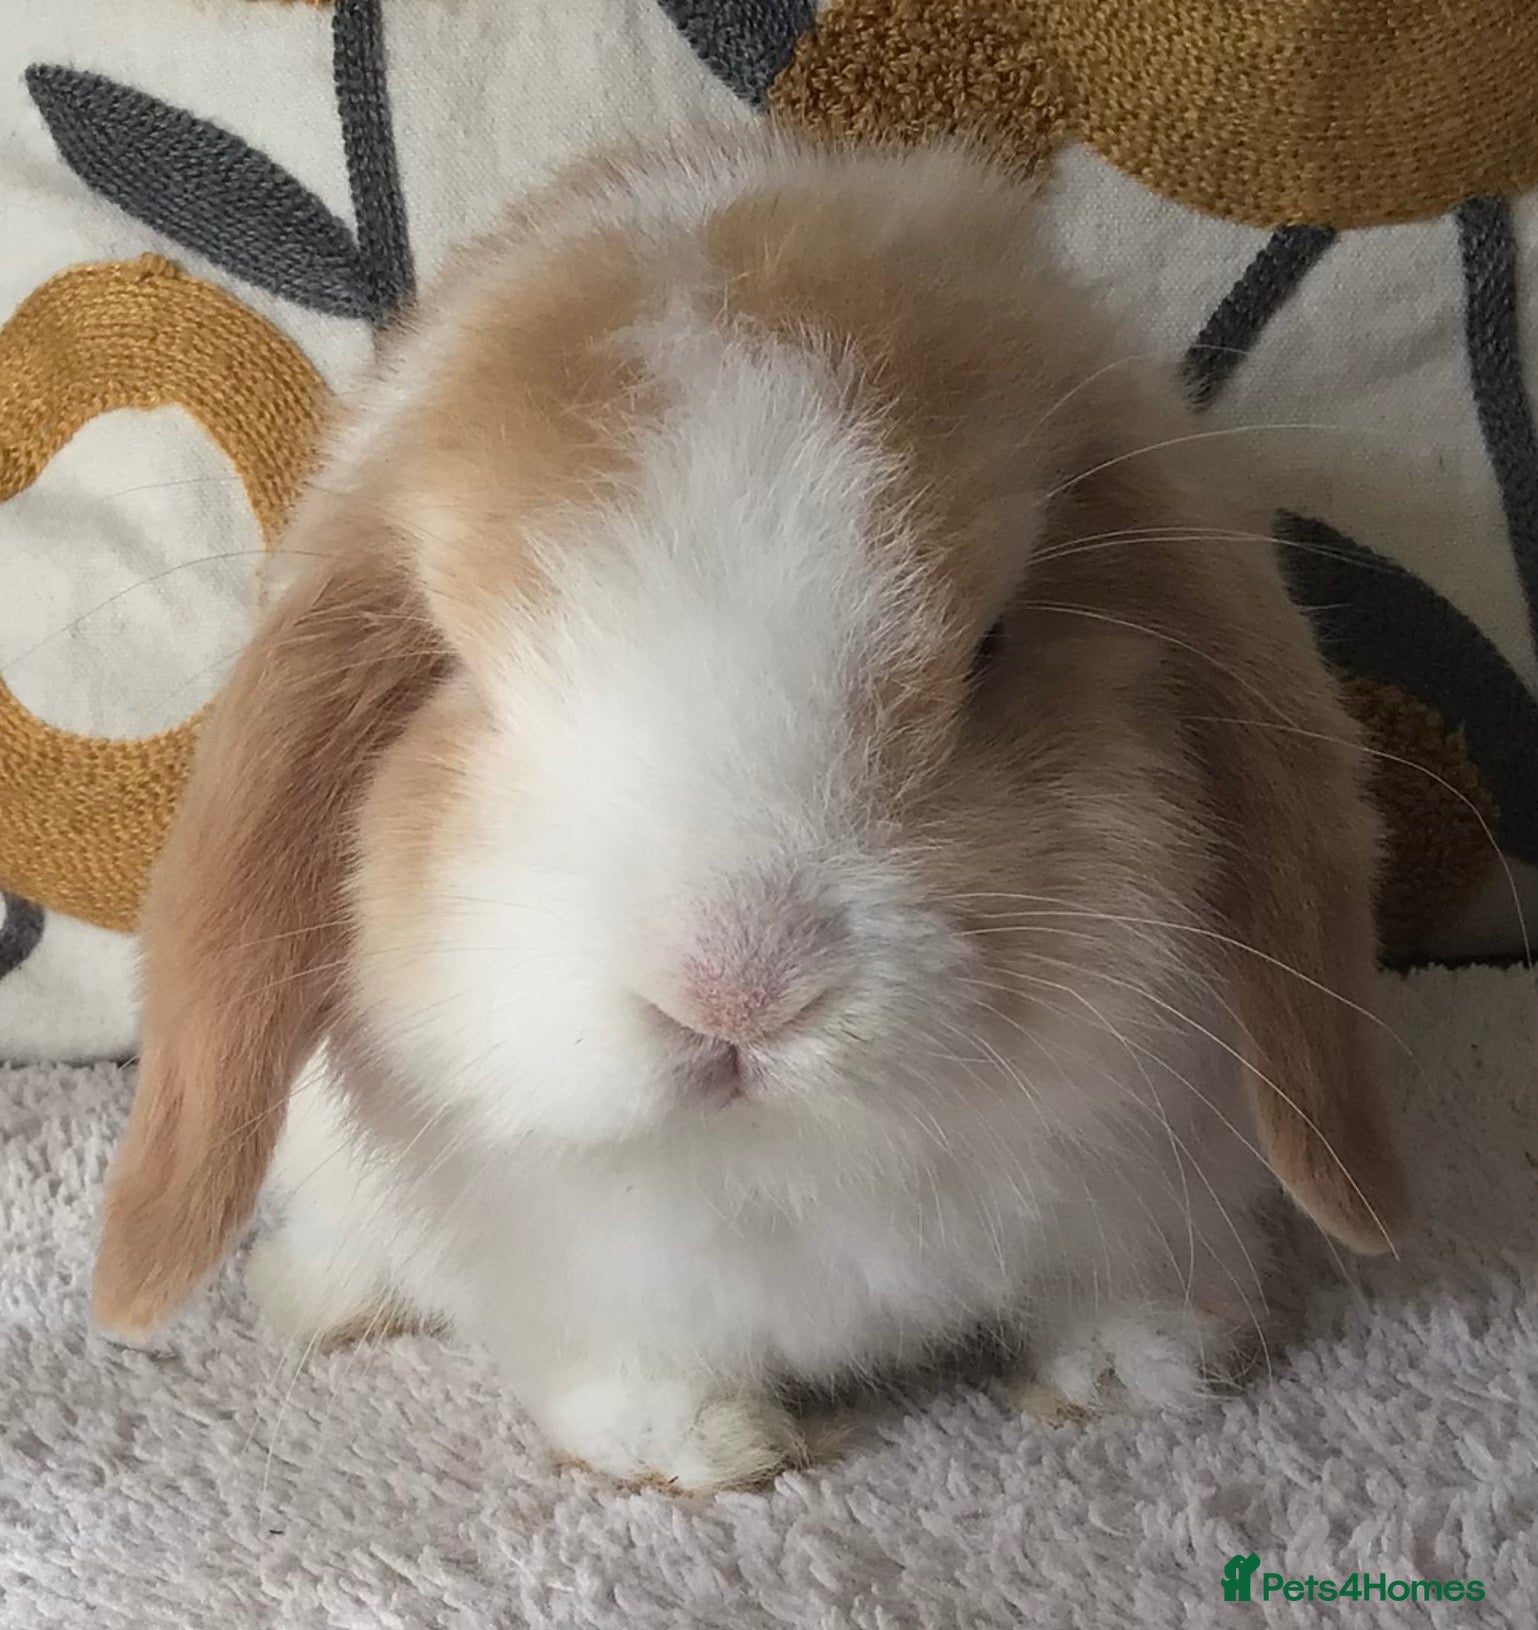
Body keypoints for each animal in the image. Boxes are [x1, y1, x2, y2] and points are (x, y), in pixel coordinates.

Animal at [93, 128, 1405, 1492]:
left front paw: (1124, 1377)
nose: (737, 990)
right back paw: (326, 1302)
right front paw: (707, 1449)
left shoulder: (1152, 1173)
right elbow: (637, 1363)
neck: (798, 1165)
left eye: (992, 647)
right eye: (462, 670)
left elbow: (1117, 1292)